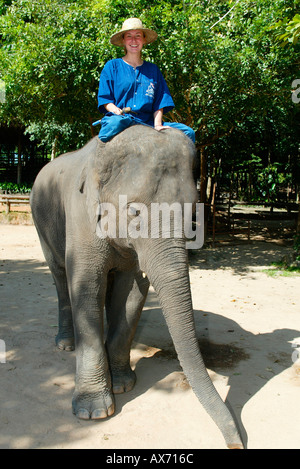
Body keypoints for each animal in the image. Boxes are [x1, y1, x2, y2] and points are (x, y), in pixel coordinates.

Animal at [29, 126, 244, 448]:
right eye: (134, 212)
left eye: (193, 212)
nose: (237, 442)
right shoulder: (81, 220)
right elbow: (85, 287)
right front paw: (94, 413)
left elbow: (130, 293)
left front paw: (124, 385)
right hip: (42, 221)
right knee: (60, 277)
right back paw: (65, 343)